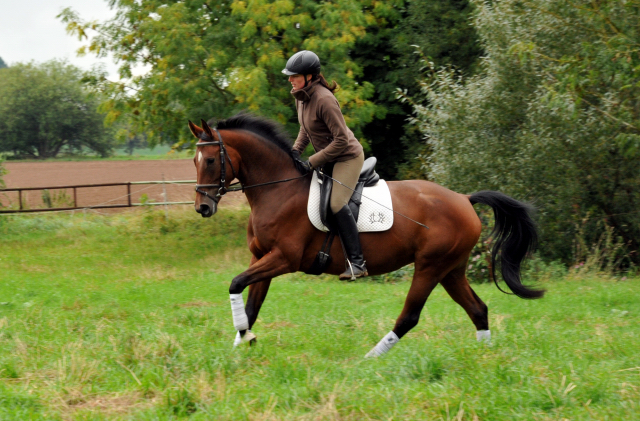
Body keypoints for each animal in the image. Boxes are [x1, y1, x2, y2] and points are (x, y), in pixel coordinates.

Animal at [188, 113, 544, 356]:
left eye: (210, 160)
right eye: (194, 160)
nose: (202, 207)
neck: (278, 190)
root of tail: (464, 199)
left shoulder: (284, 259)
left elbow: (235, 283)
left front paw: (243, 338)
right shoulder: (261, 257)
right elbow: (250, 304)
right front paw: (240, 345)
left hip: (430, 267)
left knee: (410, 316)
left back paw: (371, 358)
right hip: (451, 269)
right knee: (478, 309)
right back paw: (486, 356)